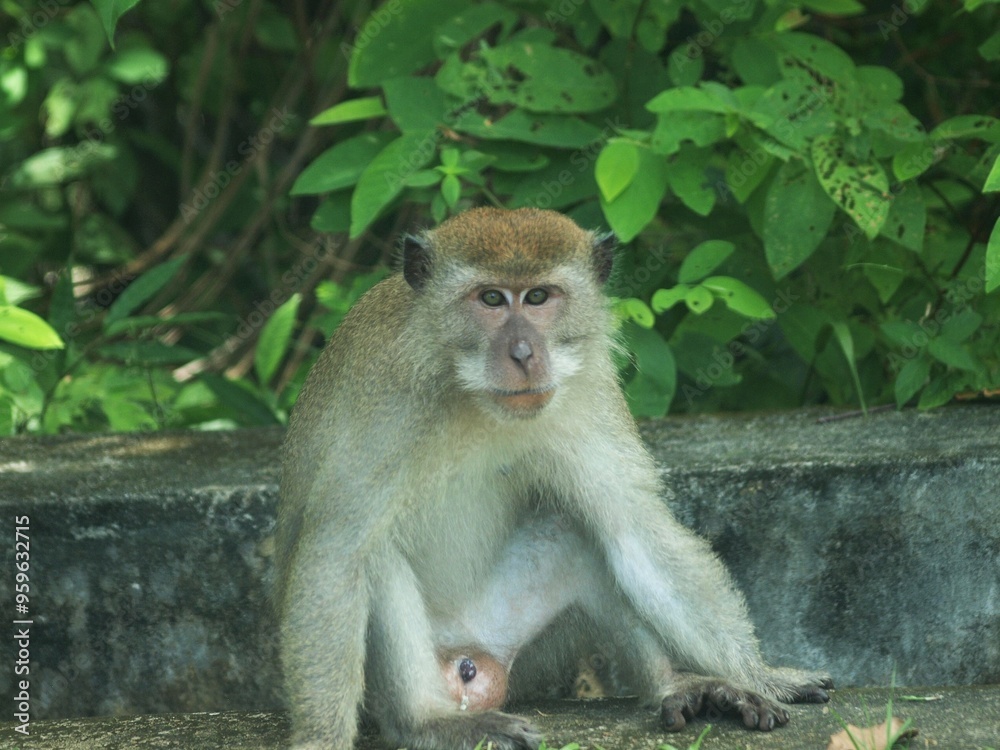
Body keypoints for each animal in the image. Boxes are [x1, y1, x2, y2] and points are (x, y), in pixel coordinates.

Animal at [275, 206, 832, 750]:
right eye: (491, 299)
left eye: (539, 297)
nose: (524, 354)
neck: (471, 393)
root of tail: (470, 660)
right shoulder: (385, 404)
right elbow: (336, 552)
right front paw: (321, 739)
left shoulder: (588, 388)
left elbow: (636, 531)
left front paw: (762, 676)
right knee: (377, 556)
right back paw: (427, 723)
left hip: (517, 642)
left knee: (584, 534)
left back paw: (678, 686)